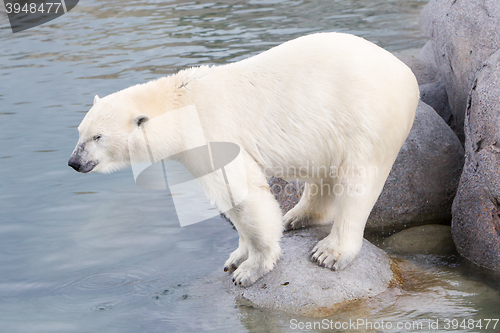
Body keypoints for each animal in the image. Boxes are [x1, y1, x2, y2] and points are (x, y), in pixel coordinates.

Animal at [67, 31, 418, 286]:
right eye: (80, 132)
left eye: (98, 137)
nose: (74, 162)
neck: (181, 103)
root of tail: (407, 75)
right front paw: (236, 257)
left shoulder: (213, 133)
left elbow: (242, 194)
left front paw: (250, 269)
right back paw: (296, 217)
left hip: (366, 120)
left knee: (358, 182)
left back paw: (330, 252)